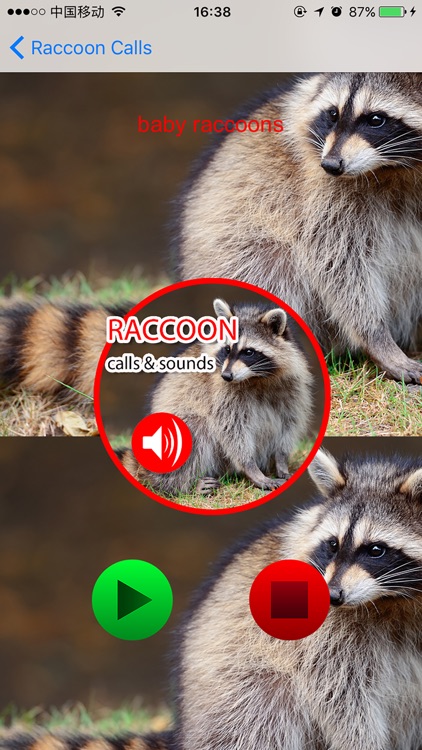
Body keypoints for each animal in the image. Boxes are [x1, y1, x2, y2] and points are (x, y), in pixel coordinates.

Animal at [119, 297, 312, 496]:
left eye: (248, 352)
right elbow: (232, 430)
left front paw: (281, 461)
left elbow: (288, 424)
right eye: (227, 349)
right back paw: (181, 485)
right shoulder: (222, 394)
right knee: (196, 428)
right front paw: (251, 468)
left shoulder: (292, 388)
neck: (256, 378)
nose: (226, 376)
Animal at [176, 72, 422, 384]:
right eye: (333, 114)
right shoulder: (323, 195)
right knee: (274, 264)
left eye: (376, 119)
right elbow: (340, 266)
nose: (331, 164)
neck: (397, 167)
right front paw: (376, 338)